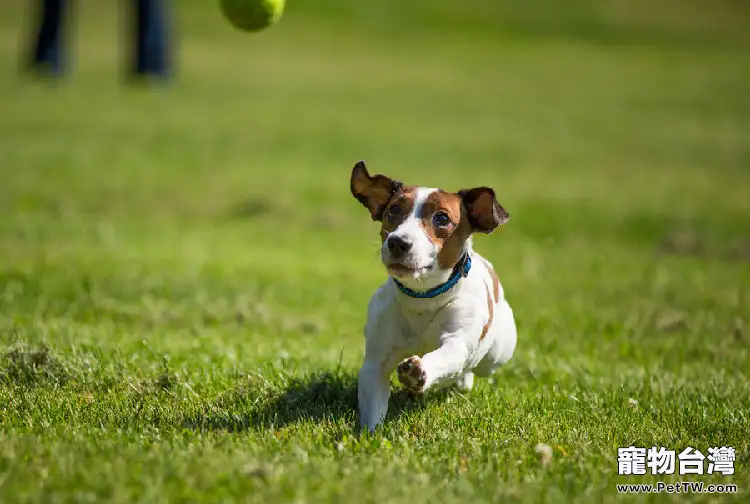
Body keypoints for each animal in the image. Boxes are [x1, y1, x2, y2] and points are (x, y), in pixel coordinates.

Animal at [352, 160, 516, 430]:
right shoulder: (376, 363)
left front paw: (418, 371)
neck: (422, 299)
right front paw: (369, 433)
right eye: (393, 211)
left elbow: (448, 354)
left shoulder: (456, 342)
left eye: (442, 218)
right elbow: (373, 405)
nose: (397, 242)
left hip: (497, 355)